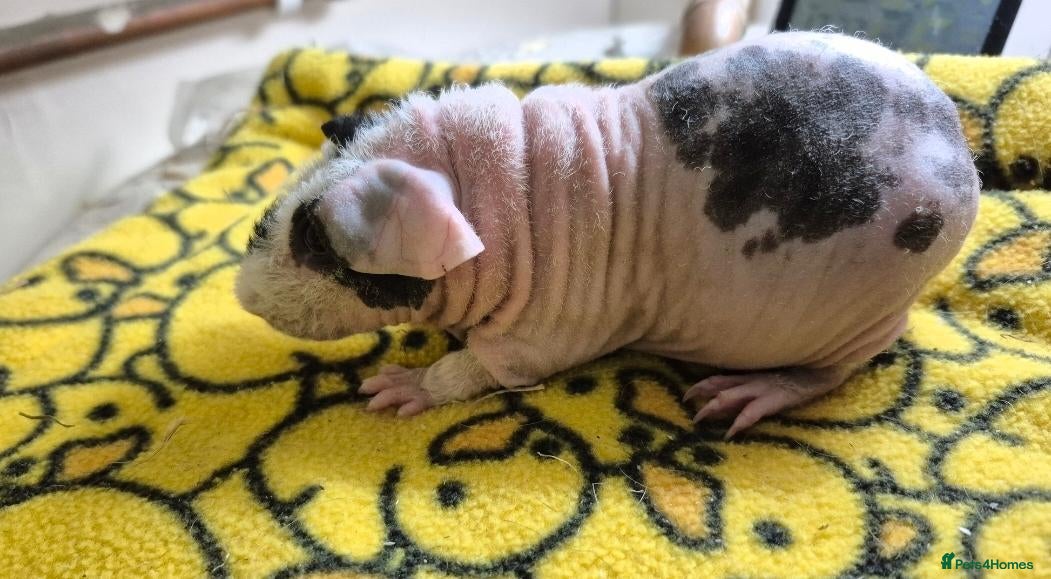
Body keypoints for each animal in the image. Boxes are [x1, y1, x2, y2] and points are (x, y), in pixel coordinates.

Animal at [235, 31, 979, 437]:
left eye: (313, 240)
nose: (241, 296)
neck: (506, 190)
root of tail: (958, 151)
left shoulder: (547, 331)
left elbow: (479, 367)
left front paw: (401, 386)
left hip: (855, 320)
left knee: (830, 371)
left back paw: (745, 395)